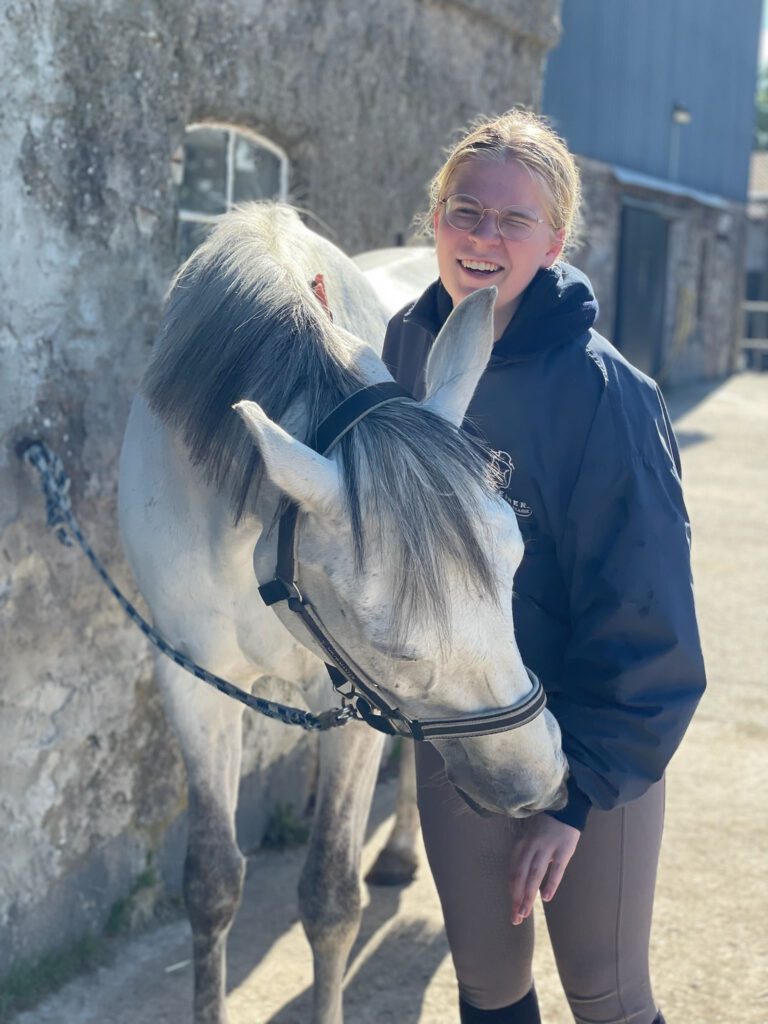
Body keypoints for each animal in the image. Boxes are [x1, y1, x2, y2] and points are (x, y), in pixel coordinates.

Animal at [118, 202, 567, 1024]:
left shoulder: (357, 704)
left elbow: (329, 897)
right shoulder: (195, 683)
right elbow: (210, 884)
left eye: (515, 562)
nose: (539, 781)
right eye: (392, 645)